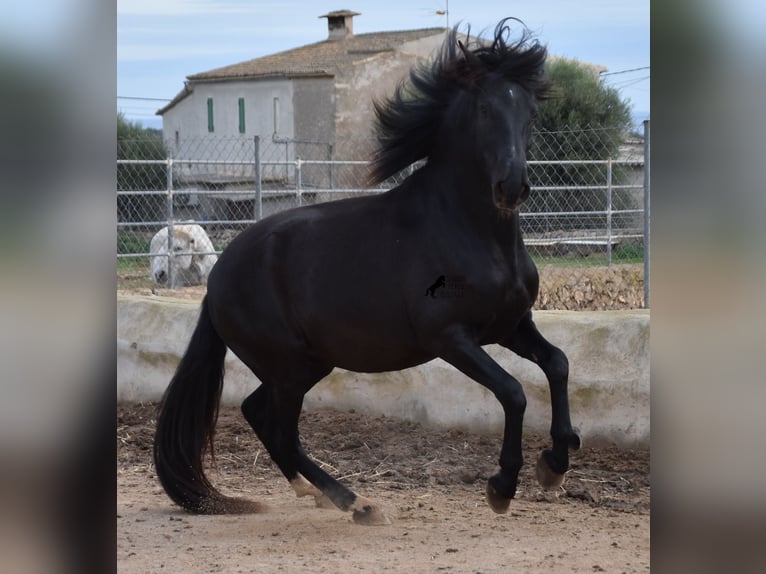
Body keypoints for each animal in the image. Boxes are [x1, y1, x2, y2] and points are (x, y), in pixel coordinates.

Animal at [153, 20, 580, 528]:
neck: (469, 232)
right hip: (289, 366)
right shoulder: (451, 338)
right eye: (484, 108)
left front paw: (556, 464)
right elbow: (514, 392)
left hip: (308, 363)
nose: (511, 187)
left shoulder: (510, 326)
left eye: (530, 112)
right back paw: (356, 502)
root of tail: (217, 279)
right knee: (277, 428)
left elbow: (558, 363)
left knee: (259, 414)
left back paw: (321, 494)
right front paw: (503, 486)